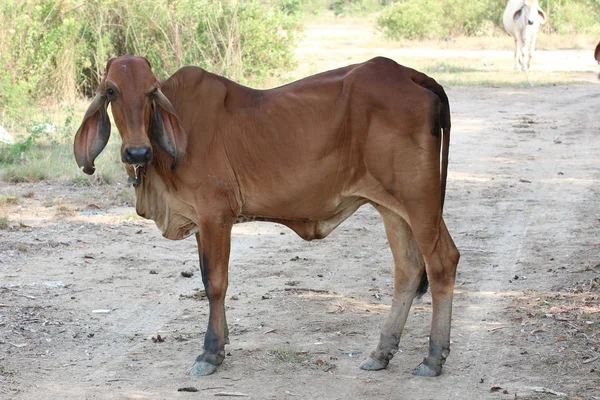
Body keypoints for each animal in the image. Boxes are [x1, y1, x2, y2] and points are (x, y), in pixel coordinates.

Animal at [75, 54, 460, 376]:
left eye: (151, 91)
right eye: (111, 90)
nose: (136, 152)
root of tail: (410, 74)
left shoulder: (216, 215)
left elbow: (215, 283)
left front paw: (210, 353)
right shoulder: (202, 222)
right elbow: (208, 279)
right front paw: (222, 344)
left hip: (420, 200)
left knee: (442, 262)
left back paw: (433, 357)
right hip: (392, 207)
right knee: (408, 269)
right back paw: (381, 352)